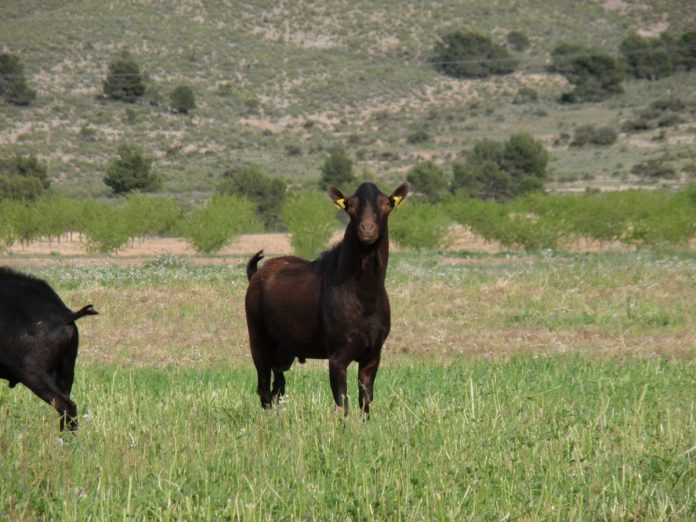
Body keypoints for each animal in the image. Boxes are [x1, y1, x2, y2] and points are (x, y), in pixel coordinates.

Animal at [245, 181, 408, 412]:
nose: (367, 229)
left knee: (278, 385)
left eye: (387, 204)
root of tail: (256, 274)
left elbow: (365, 399)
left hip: (284, 349)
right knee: (264, 388)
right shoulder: (337, 356)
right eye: (350, 205)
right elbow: (342, 401)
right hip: (259, 340)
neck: (364, 294)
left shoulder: (373, 355)